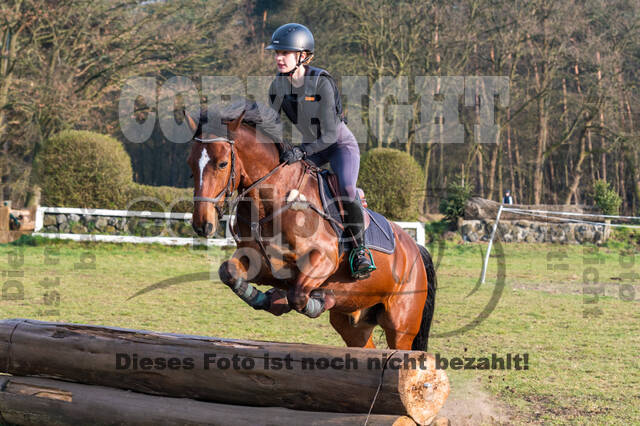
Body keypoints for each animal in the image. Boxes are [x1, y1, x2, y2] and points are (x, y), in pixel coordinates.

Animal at [182, 102, 438, 350]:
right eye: (190, 165)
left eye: (222, 163)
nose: (202, 224)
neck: (273, 201)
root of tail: (415, 248)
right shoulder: (257, 260)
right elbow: (228, 271)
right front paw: (269, 299)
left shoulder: (324, 259)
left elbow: (297, 295)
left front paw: (314, 299)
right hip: (354, 324)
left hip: (401, 325)